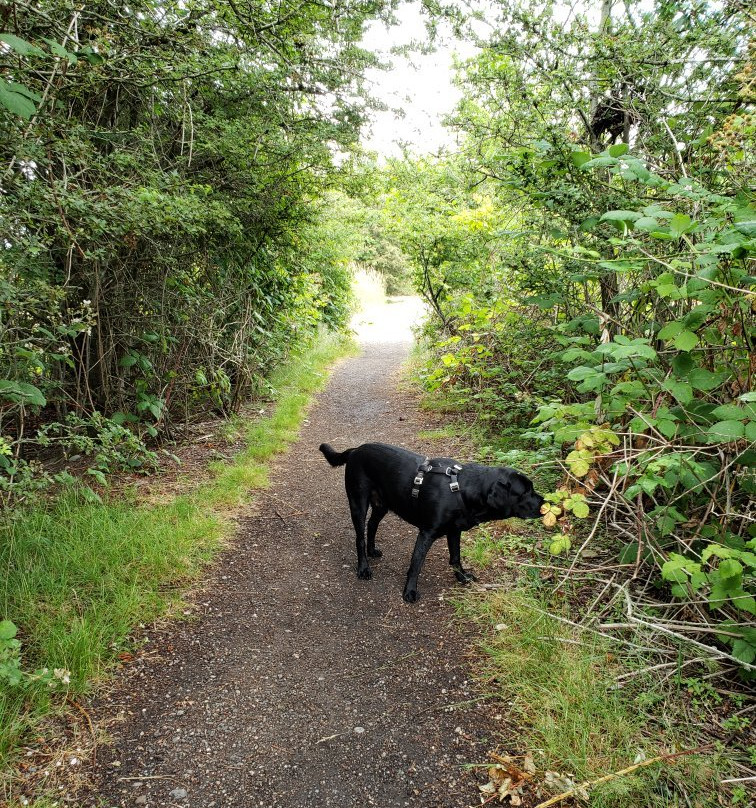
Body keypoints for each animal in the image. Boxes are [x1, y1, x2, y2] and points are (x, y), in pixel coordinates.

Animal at [318, 442, 544, 608]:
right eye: (525, 492)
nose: (544, 504)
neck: (462, 489)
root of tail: (356, 449)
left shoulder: (454, 531)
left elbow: (455, 558)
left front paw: (462, 577)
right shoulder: (426, 533)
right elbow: (416, 564)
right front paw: (409, 591)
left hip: (382, 505)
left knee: (372, 526)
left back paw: (372, 551)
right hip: (358, 503)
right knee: (360, 537)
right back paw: (363, 568)